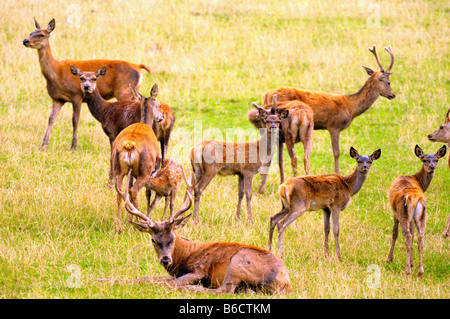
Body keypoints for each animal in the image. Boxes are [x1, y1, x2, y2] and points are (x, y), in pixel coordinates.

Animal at [22, 18, 152, 151]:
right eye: (31, 33)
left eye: (42, 35)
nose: (25, 41)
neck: (56, 73)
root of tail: (138, 67)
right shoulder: (57, 99)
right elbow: (51, 119)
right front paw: (43, 145)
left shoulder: (76, 95)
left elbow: (75, 120)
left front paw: (73, 146)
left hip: (123, 91)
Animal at [104, 175, 294, 296]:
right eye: (153, 240)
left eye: (172, 238)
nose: (165, 259)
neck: (184, 256)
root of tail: (285, 283)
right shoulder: (176, 273)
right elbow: (146, 278)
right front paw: (105, 279)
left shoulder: (199, 270)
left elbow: (165, 282)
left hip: (239, 260)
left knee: (224, 291)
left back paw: (188, 289)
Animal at [190, 96, 288, 224]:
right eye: (266, 121)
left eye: (278, 121)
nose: (273, 127)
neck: (260, 151)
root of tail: (196, 149)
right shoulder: (248, 170)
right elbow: (249, 194)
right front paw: (250, 219)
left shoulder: (240, 173)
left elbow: (240, 194)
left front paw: (238, 217)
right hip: (211, 168)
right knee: (198, 188)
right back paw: (196, 220)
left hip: (196, 169)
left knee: (190, 188)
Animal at [258, 44, 396, 174]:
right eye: (388, 82)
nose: (393, 95)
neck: (351, 107)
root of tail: (266, 95)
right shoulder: (334, 125)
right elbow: (336, 152)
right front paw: (337, 173)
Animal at [386, 146, 446, 278]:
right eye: (424, 160)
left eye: (436, 159)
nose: (432, 166)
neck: (416, 179)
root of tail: (414, 198)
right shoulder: (412, 219)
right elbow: (413, 234)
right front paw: (412, 262)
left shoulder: (395, 213)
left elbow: (394, 233)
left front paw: (389, 259)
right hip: (422, 216)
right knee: (420, 238)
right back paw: (420, 271)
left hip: (403, 213)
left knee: (407, 236)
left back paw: (407, 271)